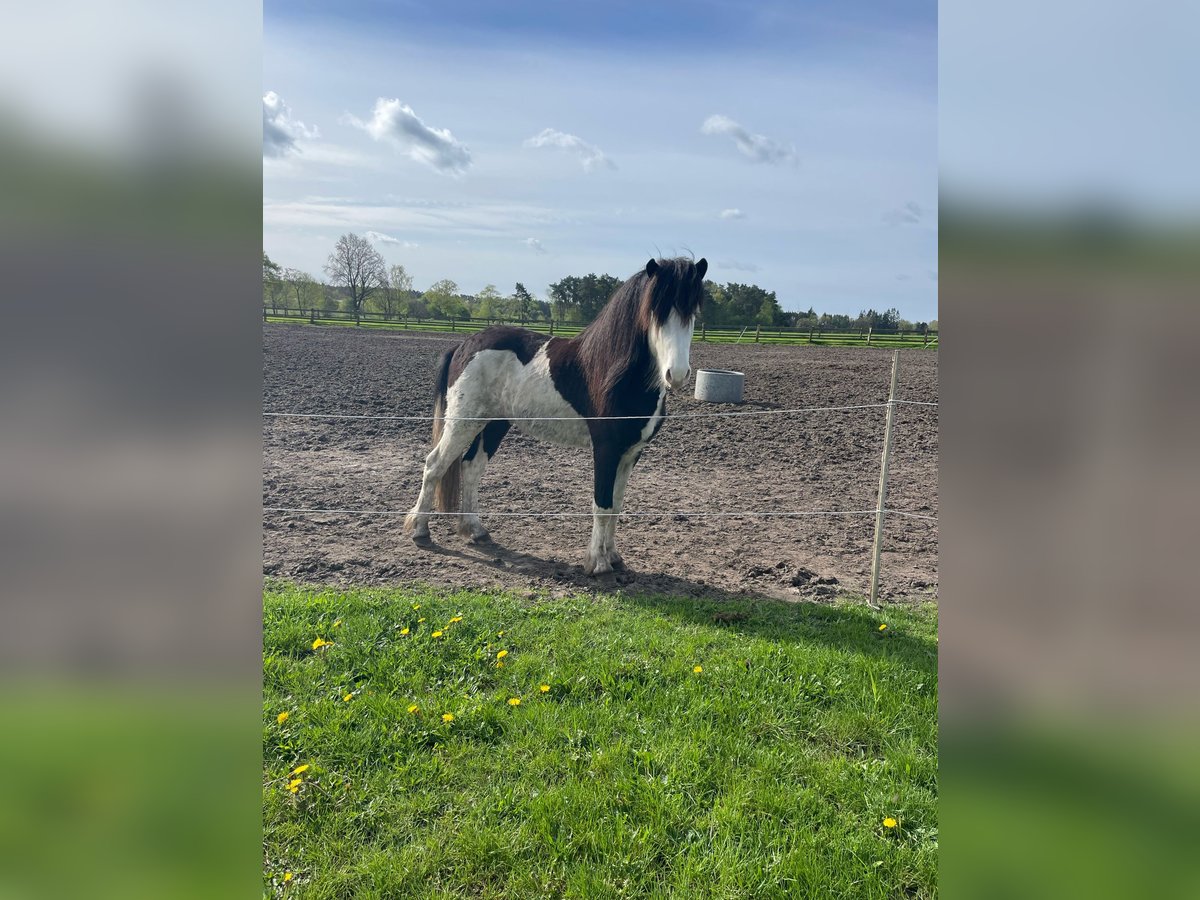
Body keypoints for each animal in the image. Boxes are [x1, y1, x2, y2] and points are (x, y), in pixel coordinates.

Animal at [405, 256, 700, 573]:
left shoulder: (631, 452)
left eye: (693, 311)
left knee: (471, 467)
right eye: (655, 311)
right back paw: (420, 531)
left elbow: (617, 504)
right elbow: (602, 504)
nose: (677, 374)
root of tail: (464, 345)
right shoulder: (606, 449)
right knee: (435, 465)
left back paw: (475, 530)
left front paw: (613, 556)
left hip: (494, 423)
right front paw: (598, 563)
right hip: (463, 422)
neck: (614, 373)